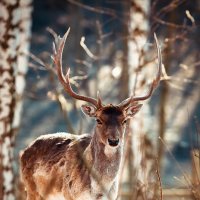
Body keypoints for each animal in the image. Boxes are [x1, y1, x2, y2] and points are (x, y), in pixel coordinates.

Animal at [19, 28, 162, 200]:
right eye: (98, 120)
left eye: (125, 121)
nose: (113, 141)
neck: (99, 190)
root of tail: (24, 151)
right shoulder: (70, 194)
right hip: (31, 189)